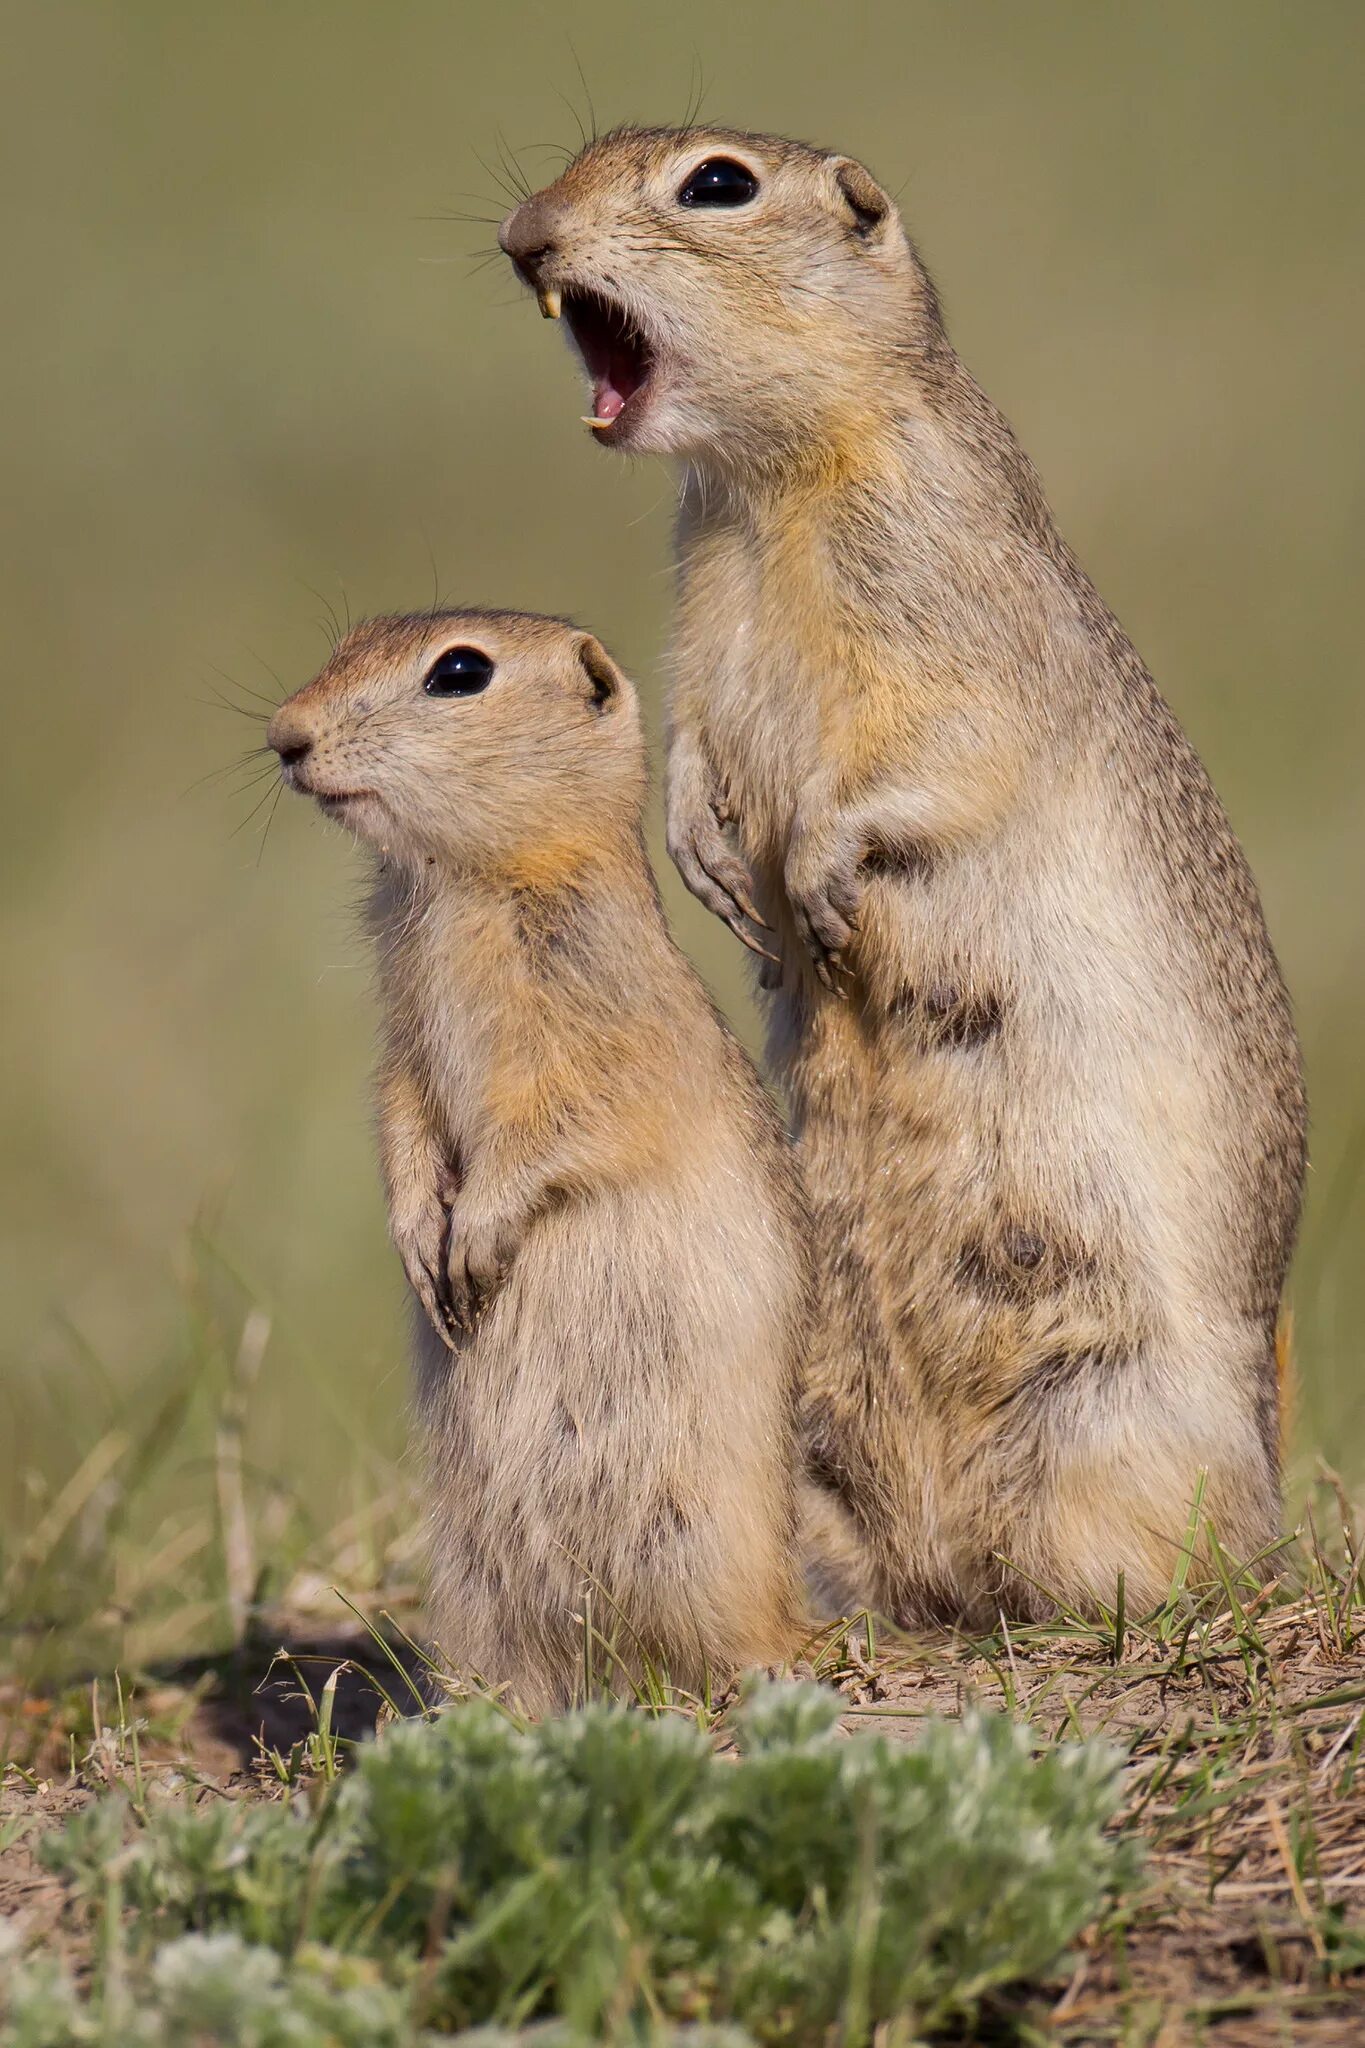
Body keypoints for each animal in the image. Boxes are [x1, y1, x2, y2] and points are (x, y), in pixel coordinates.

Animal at [266, 606, 810, 1712]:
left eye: (459, 672)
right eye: (347, 638)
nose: (283, 737)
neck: (466, 886)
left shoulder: (590, 1032)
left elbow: (552, 1127)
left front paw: (472, 1244)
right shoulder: (403, 1045)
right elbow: (403, 1120)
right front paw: (418, 1244)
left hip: (695, 1535)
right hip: (475, 1577)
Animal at [497, 128, 1309, 1630]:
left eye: (716, 183)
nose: (526, 235)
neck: (771, 481)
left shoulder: (946, 603)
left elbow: (937, 748)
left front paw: (815, 877)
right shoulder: (700, 621)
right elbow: (690, 746)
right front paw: (716, 873)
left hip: (1110, 1408)